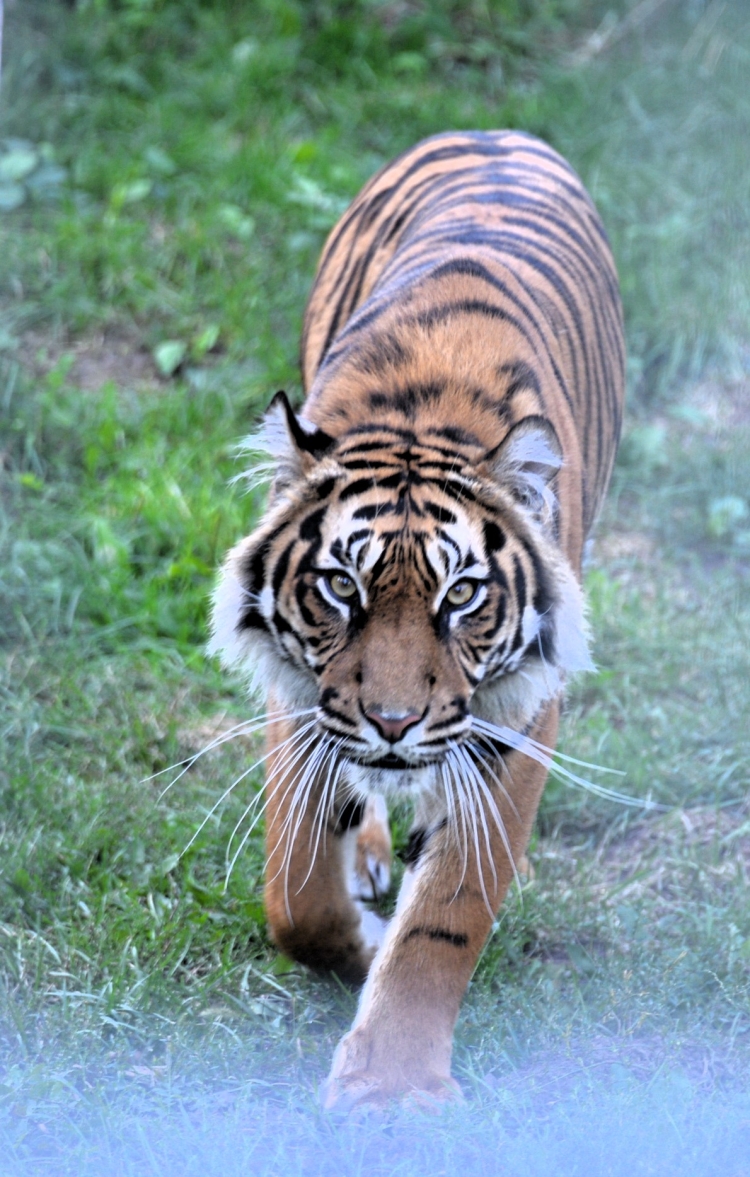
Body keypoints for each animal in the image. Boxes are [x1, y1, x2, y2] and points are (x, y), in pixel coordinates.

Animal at [207, 131, 621, 1111]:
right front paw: (357, 940)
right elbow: (295, 890)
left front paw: (391, 1089)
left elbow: (448, 912)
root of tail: (496, 132)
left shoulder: (516, 714)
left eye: (461, 595)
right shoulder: (303, 697)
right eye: (340, 588)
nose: (393, 723)